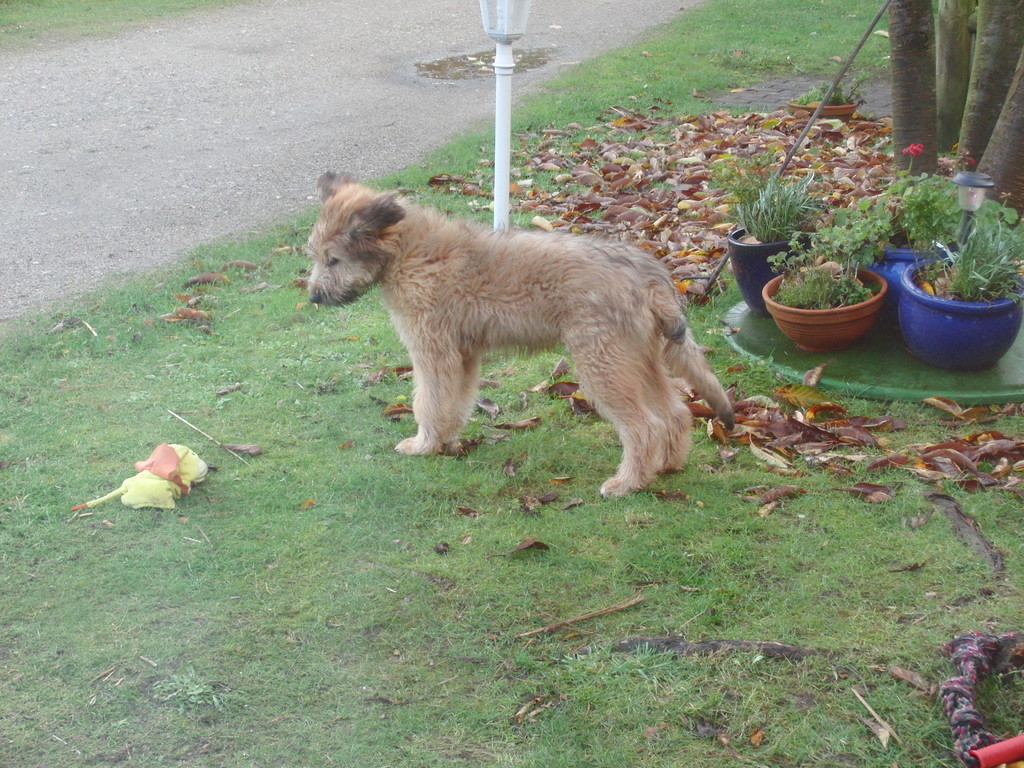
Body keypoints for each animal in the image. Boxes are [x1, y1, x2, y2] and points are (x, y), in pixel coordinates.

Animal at [307, 173, 733, 499]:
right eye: (315, 256)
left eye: (333, 260)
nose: (312, 297)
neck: (407, 251)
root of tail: (648, 274)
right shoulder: (463, 355)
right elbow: (455, 403)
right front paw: (445, 440)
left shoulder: (433, 350)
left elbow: (427, 400)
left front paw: (423, 444)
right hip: (640, 358)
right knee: (675, 413)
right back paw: (668, 465)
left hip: (603, 362)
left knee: (646, 426)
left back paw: (627, 482)